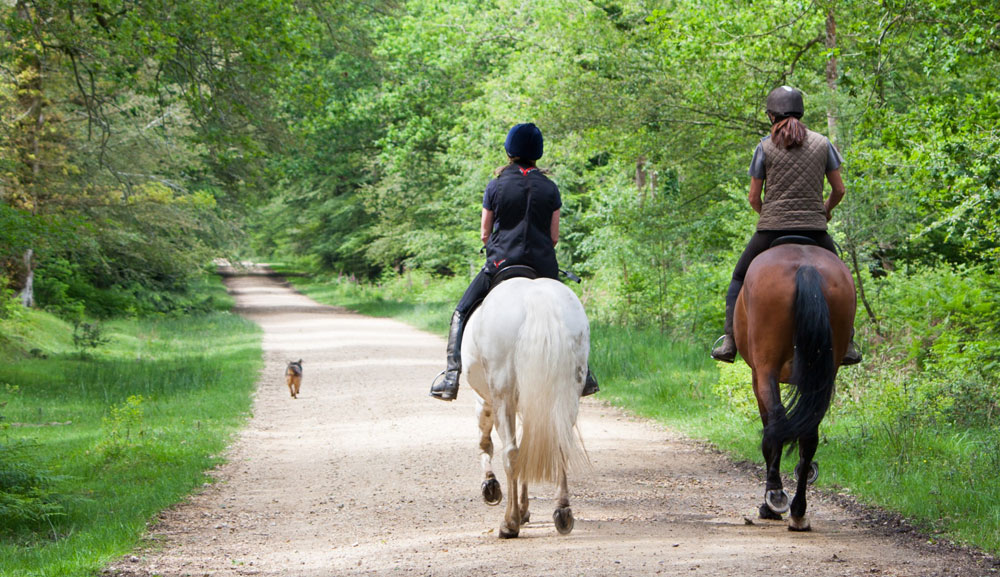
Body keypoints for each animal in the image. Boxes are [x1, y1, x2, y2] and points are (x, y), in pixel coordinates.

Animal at [462, 276, 592, 536]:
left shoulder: (484, 401)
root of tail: (537, 298)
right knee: (558, 444)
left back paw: (509, 523)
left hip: (502, 395)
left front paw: (491, 486)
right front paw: (524, 508)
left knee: (511, 453)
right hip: (567, 394)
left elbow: (485, 443)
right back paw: (562, 512)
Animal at [732, 240, 856, 532]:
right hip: (825, 371)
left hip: (766, 368)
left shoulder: (757, 375)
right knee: (809, 435)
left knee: (776, 425)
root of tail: (806, 267)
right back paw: (799, 510)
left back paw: (775, 498)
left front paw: (770, 503)